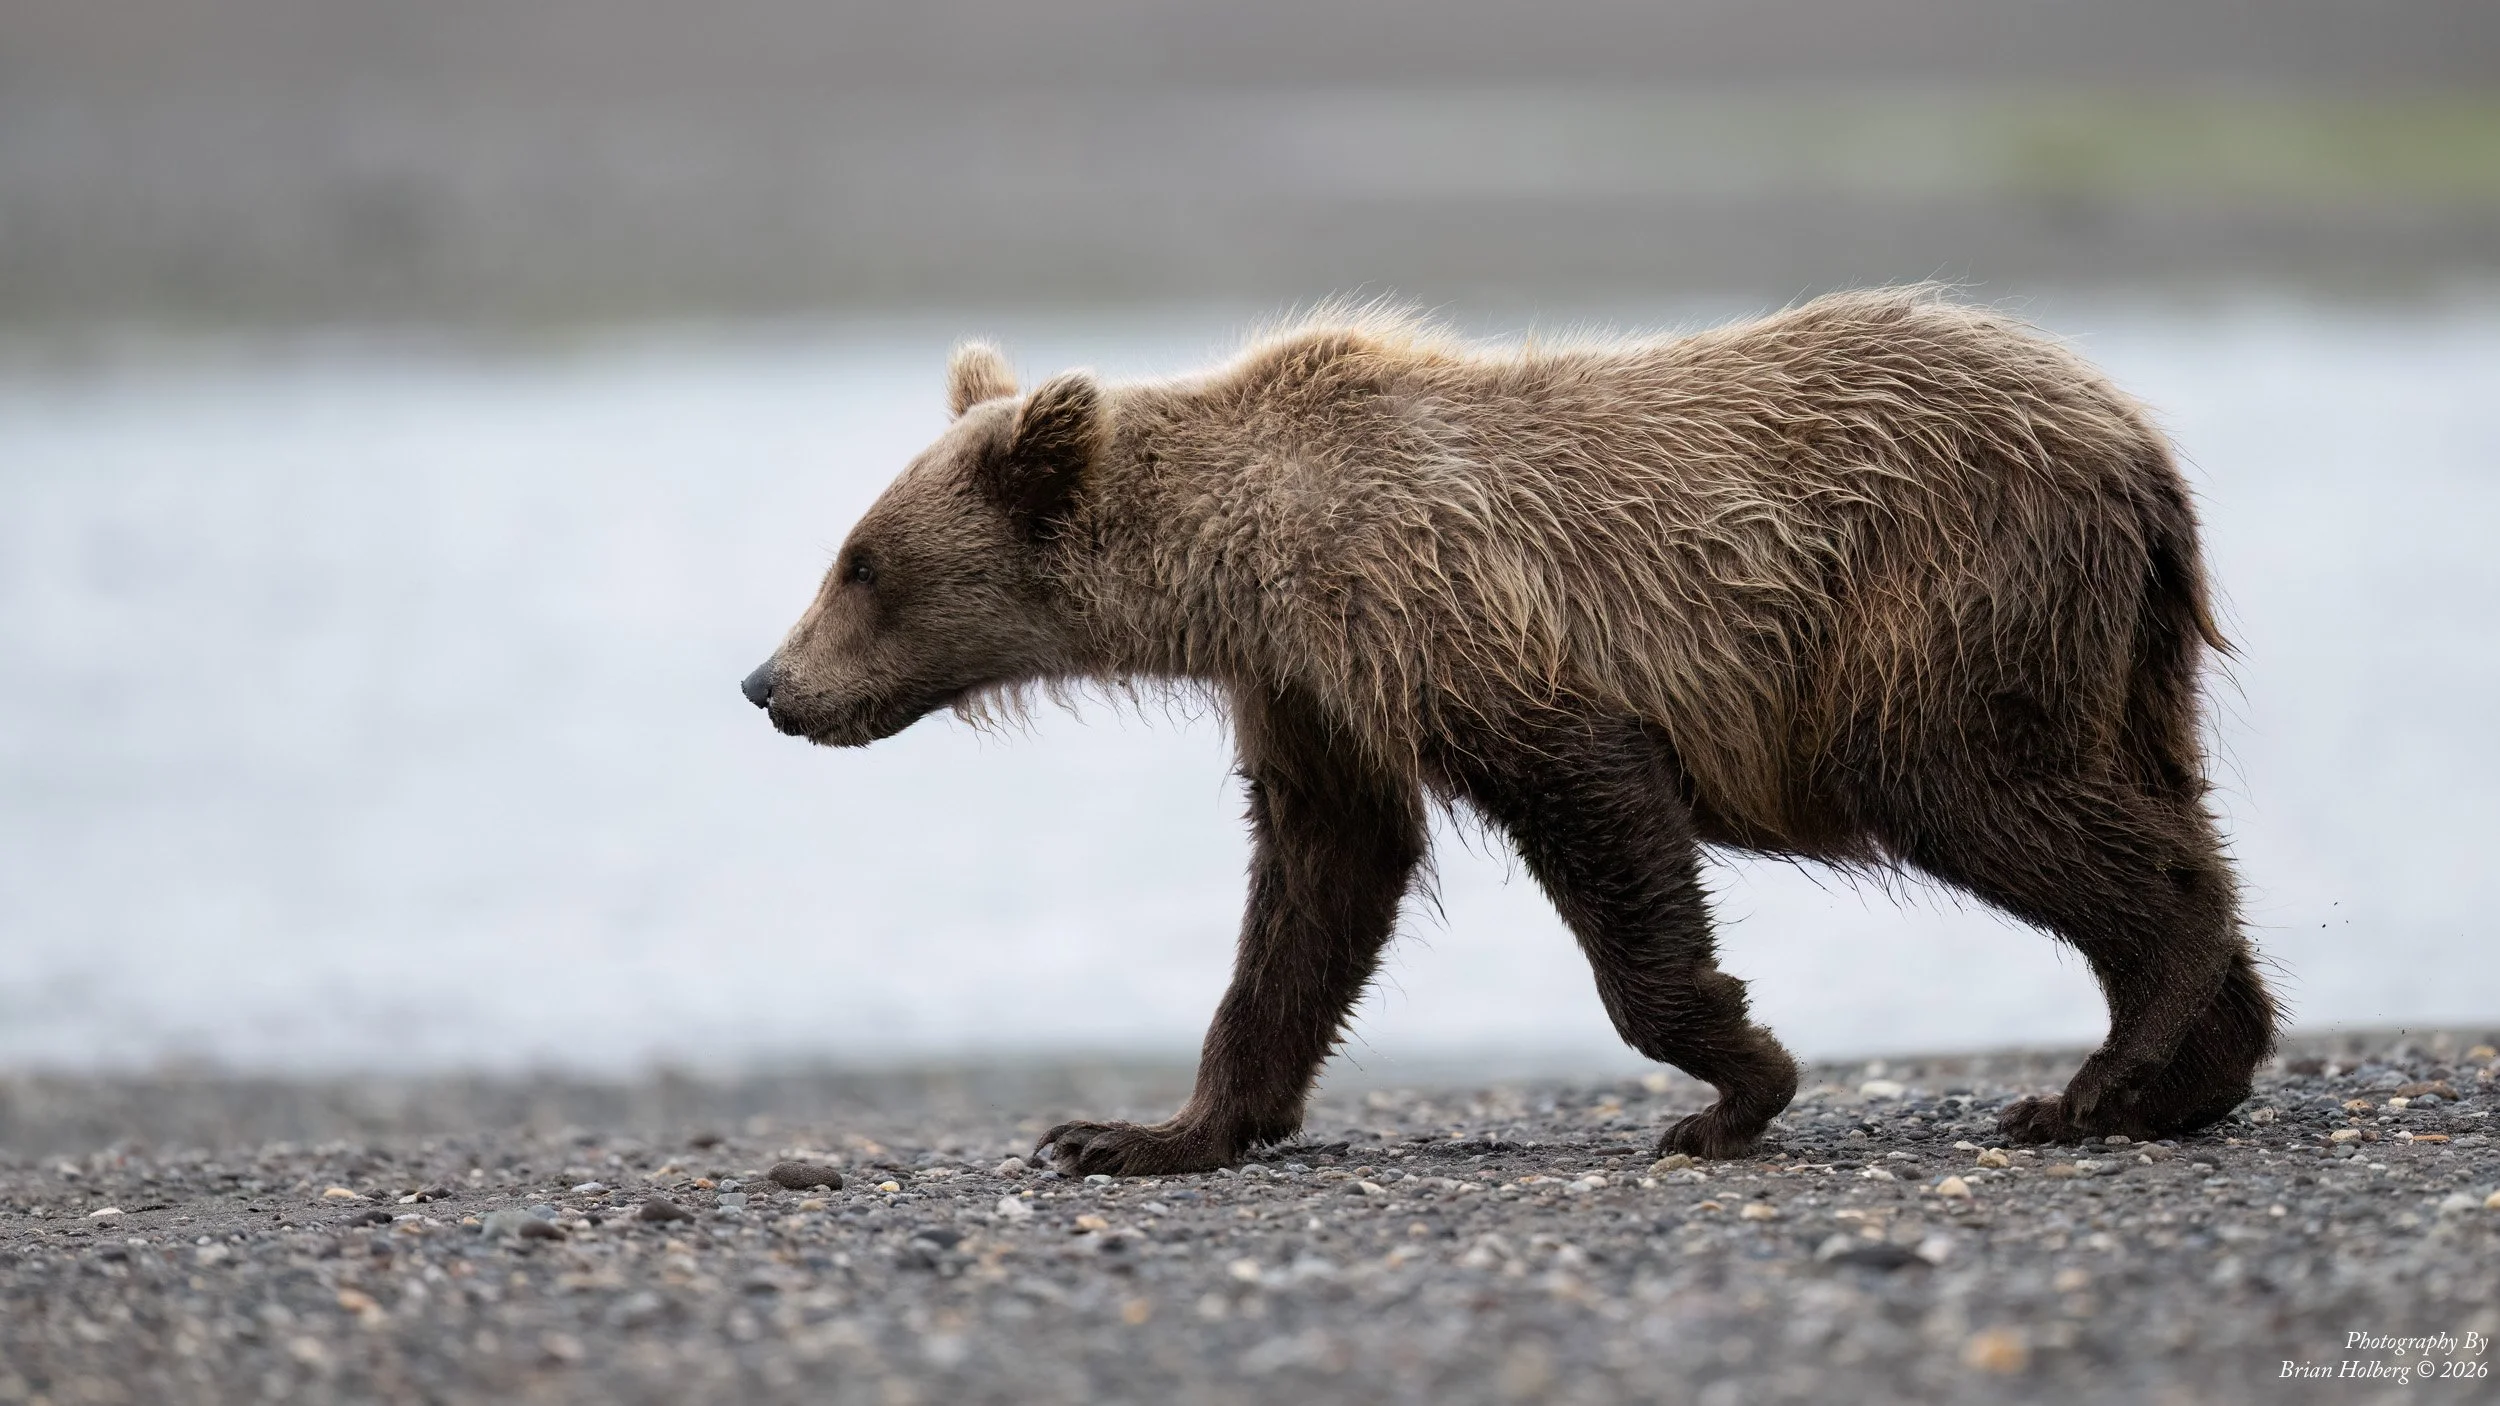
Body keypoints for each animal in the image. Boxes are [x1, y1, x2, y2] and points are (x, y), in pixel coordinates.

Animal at [741, 287, 2278, 1176]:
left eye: (860, 561)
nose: (768, 682)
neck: (1246, 564)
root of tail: (2138, 443)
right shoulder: (1312, 686)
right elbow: (1318, 882)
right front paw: (1139, 1129)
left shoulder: (1455, 621)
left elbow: (1595, 815)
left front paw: (1733, 1085)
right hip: (2111, 649)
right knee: (2140, 793)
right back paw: (2196, 1066)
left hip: (1944, 594)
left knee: (1973, 787)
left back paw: (2103, 1070)